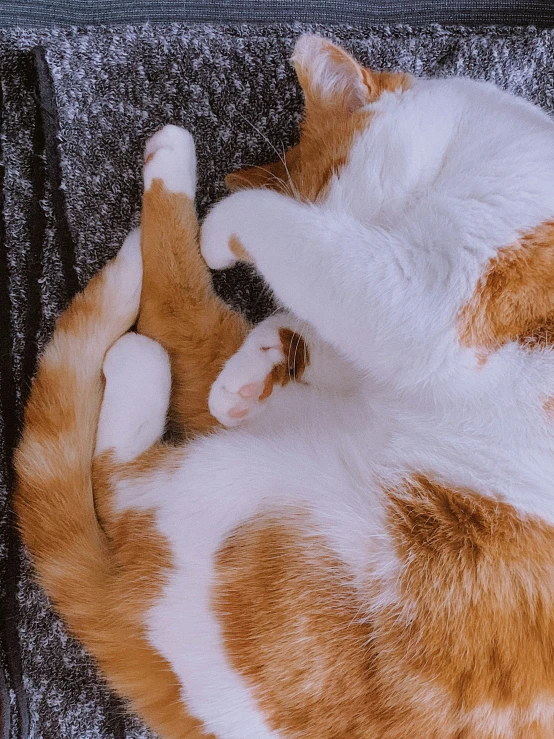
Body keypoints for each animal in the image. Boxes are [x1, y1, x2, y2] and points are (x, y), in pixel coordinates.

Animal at [11, 33, 554, 739]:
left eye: (332, 191)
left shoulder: (424, 296)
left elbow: (302, 260)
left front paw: (229, 235)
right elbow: (326, 334)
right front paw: (268, 353)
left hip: (239, 502)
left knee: (127, 470)